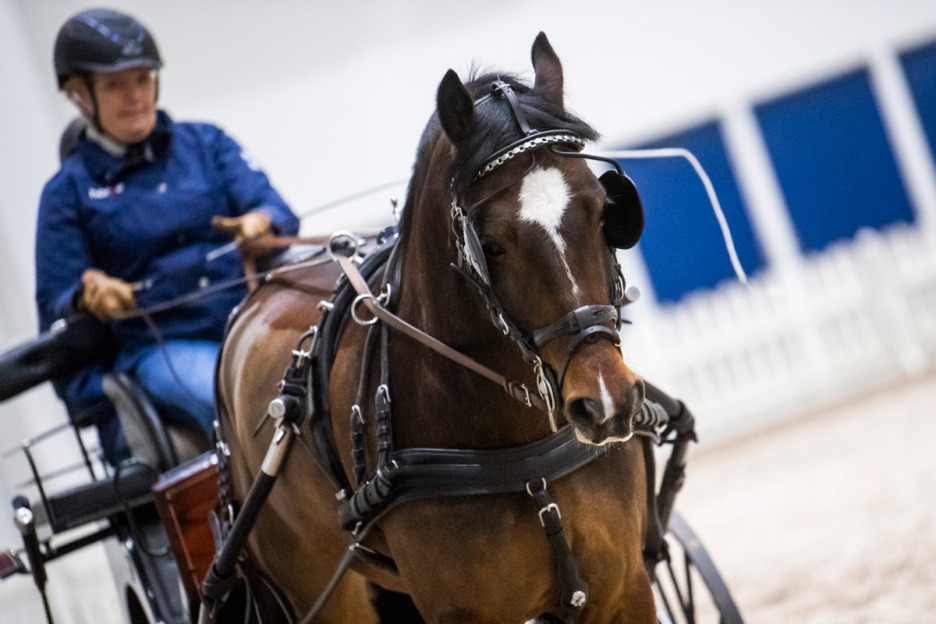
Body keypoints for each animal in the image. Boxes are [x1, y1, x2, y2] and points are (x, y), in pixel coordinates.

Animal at [215, 32, 655, 623]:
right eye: (489, 244)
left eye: (606, 211)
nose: (606, 403)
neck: (525, 457)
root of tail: (255, 295)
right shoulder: (462, 613)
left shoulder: (623, 589)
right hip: (323, 593)